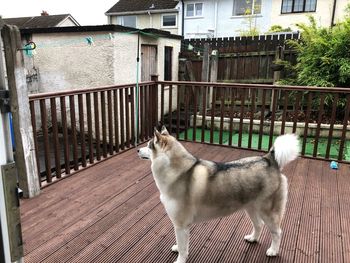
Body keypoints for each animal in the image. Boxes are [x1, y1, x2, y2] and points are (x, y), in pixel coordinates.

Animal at [137, 127, 298, 262]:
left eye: (149, 145)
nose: (138, 150)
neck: (178, 171)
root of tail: (268, 160)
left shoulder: (181, 225)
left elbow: (183, 248)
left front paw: (180, 260)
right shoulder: (180, 226)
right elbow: (181, 244)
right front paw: (177, 248)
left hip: (268, 212)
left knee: (277, 232)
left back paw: (273, 250)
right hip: (251, 208)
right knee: (258, 225)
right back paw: (252, 238)